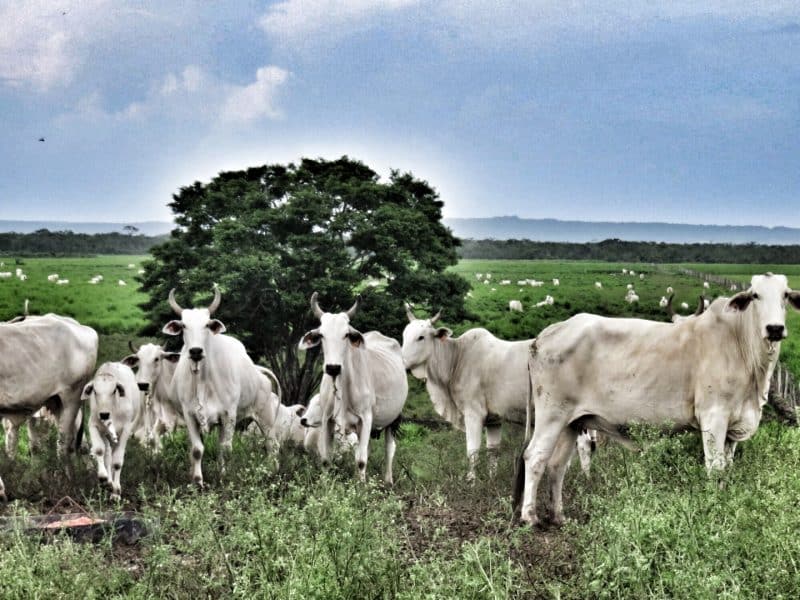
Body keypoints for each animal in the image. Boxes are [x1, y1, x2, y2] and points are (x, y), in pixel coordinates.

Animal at [161, 286, 280, 488]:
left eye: (207, 325)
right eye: (183, 325)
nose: (195, 351)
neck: (203, 380)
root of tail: (258, 371)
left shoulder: (229, 415)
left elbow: (226, 448)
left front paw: (225, 477)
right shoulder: (190, 415)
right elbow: (197, 449)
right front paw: (198, 481)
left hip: (266, 417)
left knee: (272, 445)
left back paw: (272, 472)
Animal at [296, 292, 406, 486]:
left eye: (346, 334)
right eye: (321, 335)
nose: (333, 367)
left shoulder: (366, 418)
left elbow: (361, 460)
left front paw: (360, 487)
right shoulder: (327, 419)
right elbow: (327, 459)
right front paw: (326, 485)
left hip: (394, 419)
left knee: (389, 448)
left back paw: (388, 481)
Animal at [516, 274, 796, 524]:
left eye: (785, 295)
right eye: (755, 295)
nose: (774, 328)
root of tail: (544, 336)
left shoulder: (733, 427)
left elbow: (726, 469)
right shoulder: (713, 417)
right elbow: (714, 468)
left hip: (571, 422)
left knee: (557, 465)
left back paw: (558, 516)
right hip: (552, 415)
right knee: (535, 457)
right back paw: (530, 517)